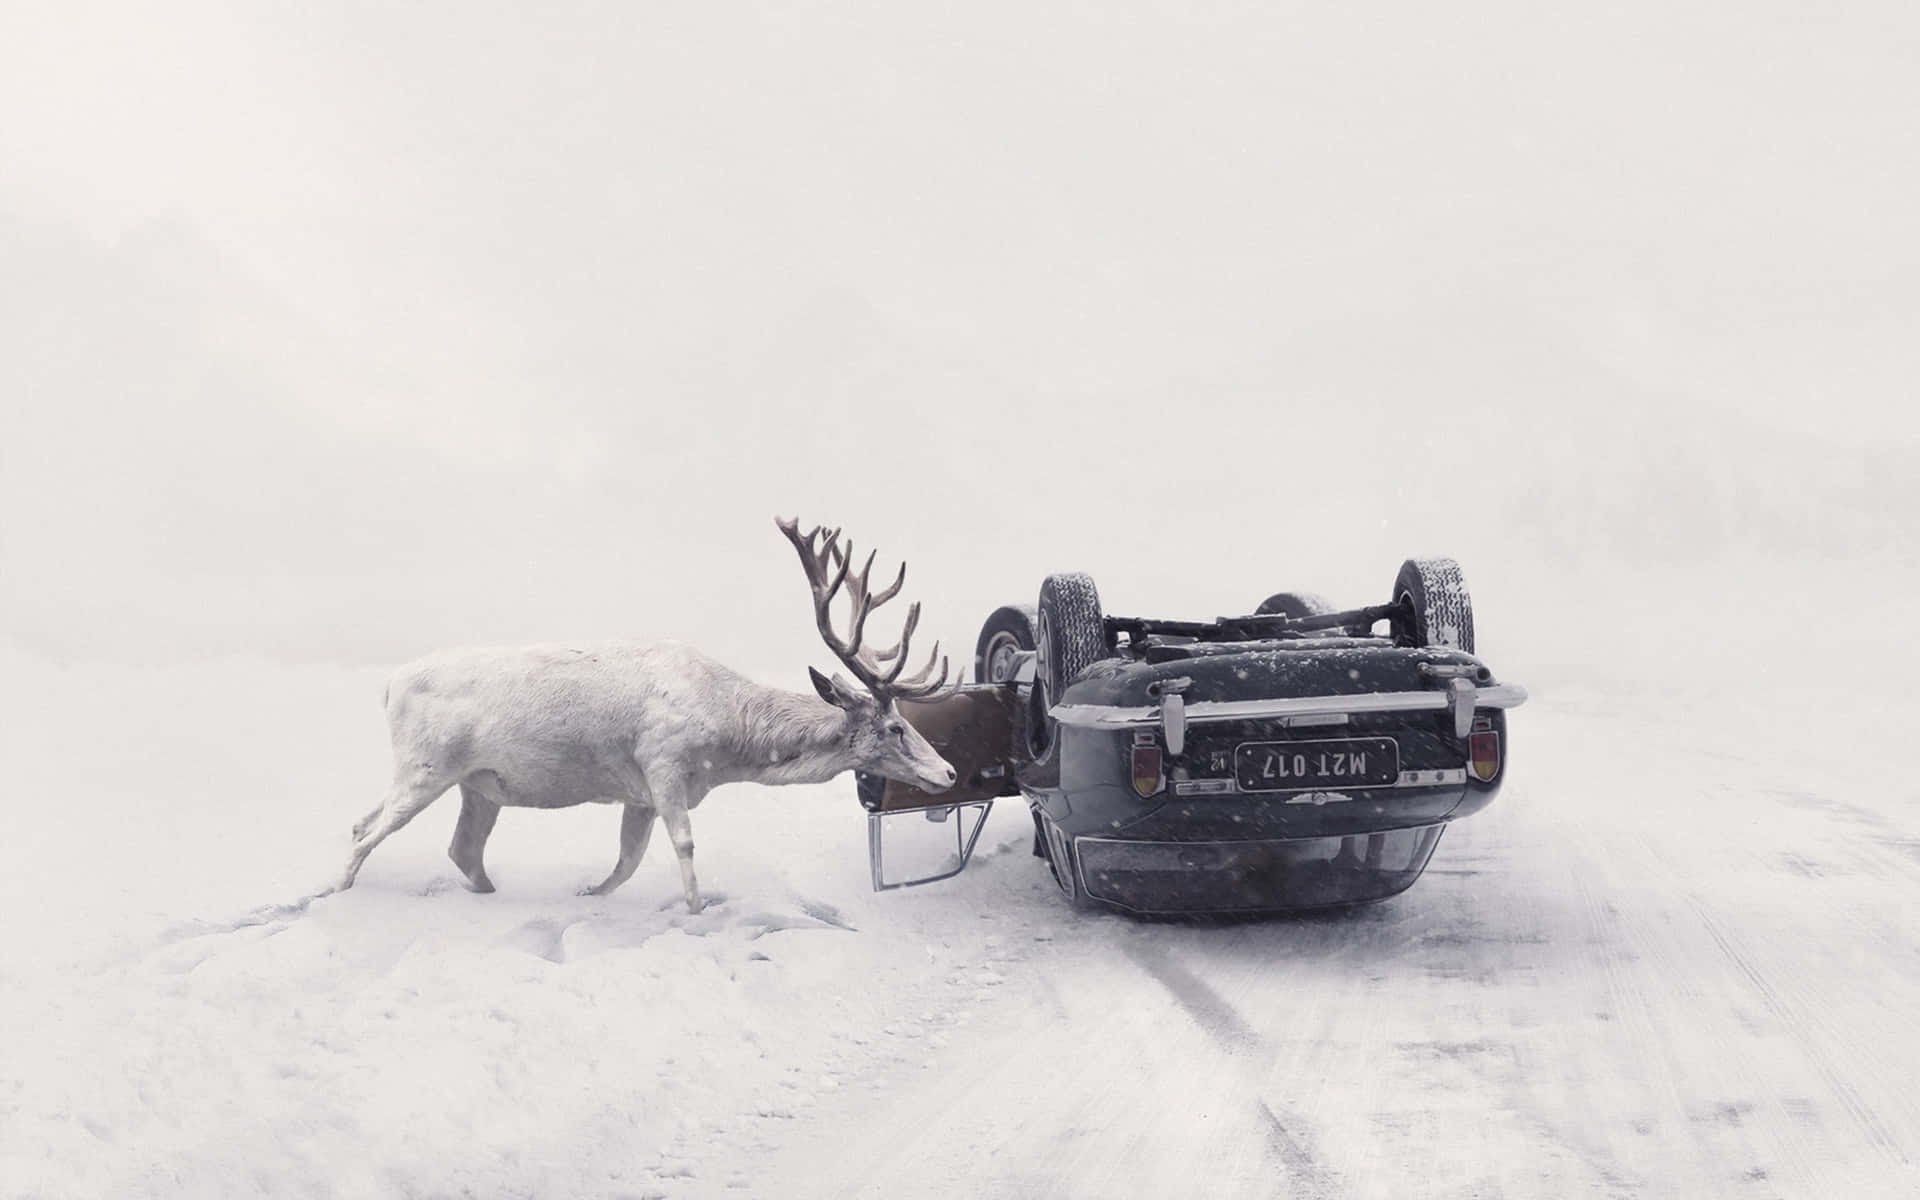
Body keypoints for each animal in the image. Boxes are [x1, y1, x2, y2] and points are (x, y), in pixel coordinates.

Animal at [333, 517, 958, 912]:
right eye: (896, 727)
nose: (949, 772)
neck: (728, 745)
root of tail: (387, 686)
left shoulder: (637, 792)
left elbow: (626, 862)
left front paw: (588, 895)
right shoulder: (662, 760)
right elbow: (682, 844)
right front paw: (695, 910)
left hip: (476, 783)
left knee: (453, 846)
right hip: (426, 765)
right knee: (367, 831)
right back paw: (334, 891)